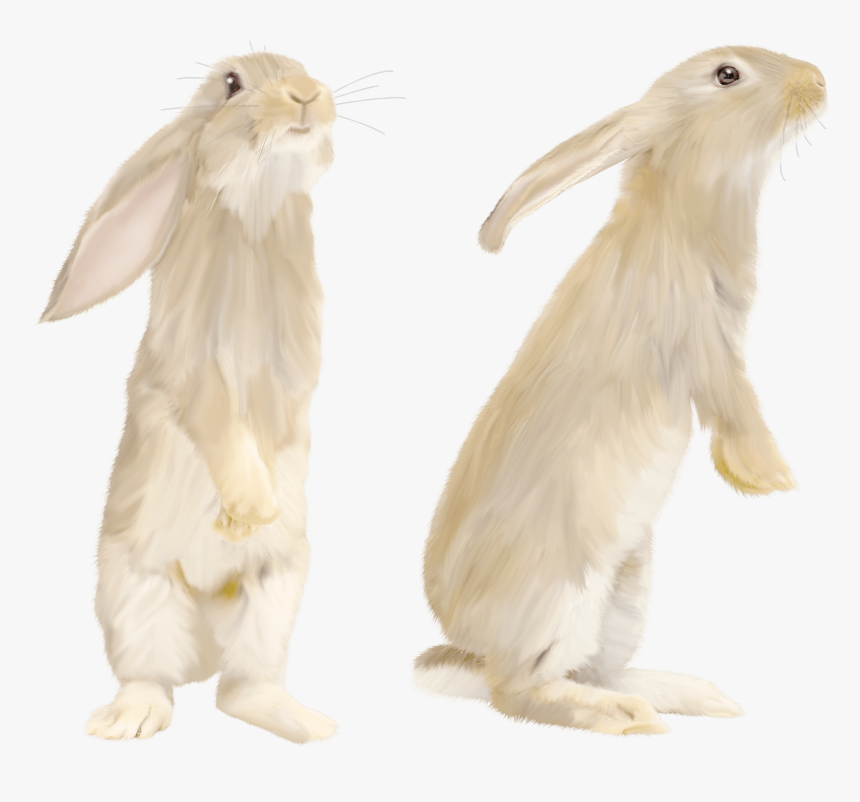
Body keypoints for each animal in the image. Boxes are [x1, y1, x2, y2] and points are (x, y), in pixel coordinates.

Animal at [41, 52, 341, 742]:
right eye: (231, 83)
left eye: (303, 68)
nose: (306, 94)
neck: (254, 215)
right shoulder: (193, 366)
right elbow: (216, 419)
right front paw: (248, 508)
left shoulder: (292, 374)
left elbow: (280, 423)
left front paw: (251, 516)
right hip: (137, 590)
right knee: (154, 679)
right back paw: (124, 722)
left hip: (274, 589)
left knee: (242, 688)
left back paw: (309, 723)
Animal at [415, 46, 826, 735]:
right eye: (728, 75)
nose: (819, 82)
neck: (682, 215)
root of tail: (468, 645)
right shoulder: (704, 345)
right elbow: (737, 406)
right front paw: (772, 479)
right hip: (561, 597)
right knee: (518, 692)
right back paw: (627, 717)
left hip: (626, 588)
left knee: (593, 669)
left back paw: (697, 695)